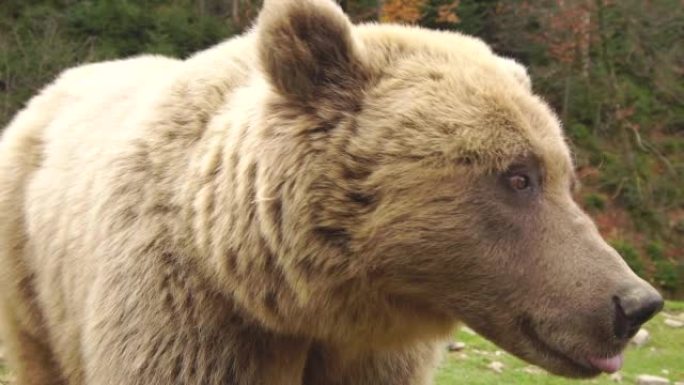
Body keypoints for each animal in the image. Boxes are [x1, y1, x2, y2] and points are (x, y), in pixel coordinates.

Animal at [0, 0, 664, 384]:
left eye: (564, 175)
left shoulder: (366, 357)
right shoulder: (188, 315)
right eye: (518, 176)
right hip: (31, 275)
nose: (635, 303)